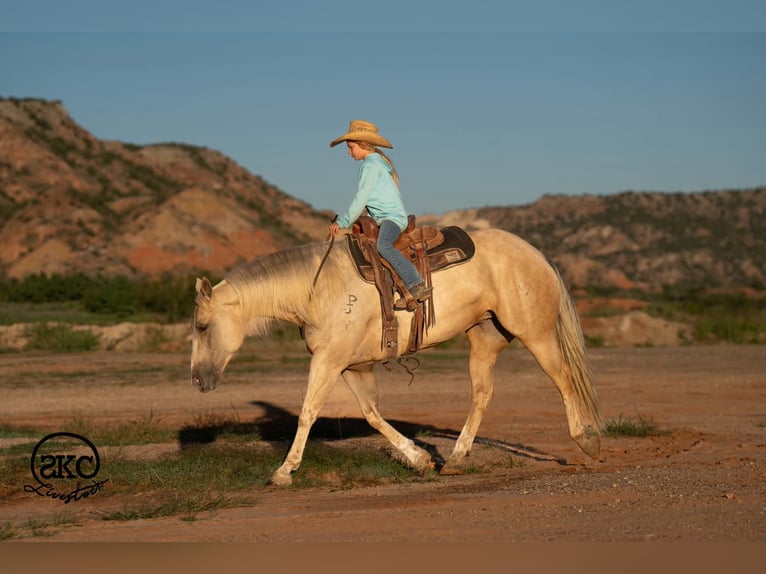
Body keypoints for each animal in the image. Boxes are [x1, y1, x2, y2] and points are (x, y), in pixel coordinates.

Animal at [190, 228, 602, 486]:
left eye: (202, 326)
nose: (197, 380)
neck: (318, 289)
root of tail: (535, 253)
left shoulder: (327, 361)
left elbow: (308, 412)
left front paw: (283, 472)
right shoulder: (352, 367)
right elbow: (372, 415)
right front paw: (418, 458)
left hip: (536, 334)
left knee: (564, 380)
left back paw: (587, 442)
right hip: (485, 339)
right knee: (482, 395)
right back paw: (454, 459)